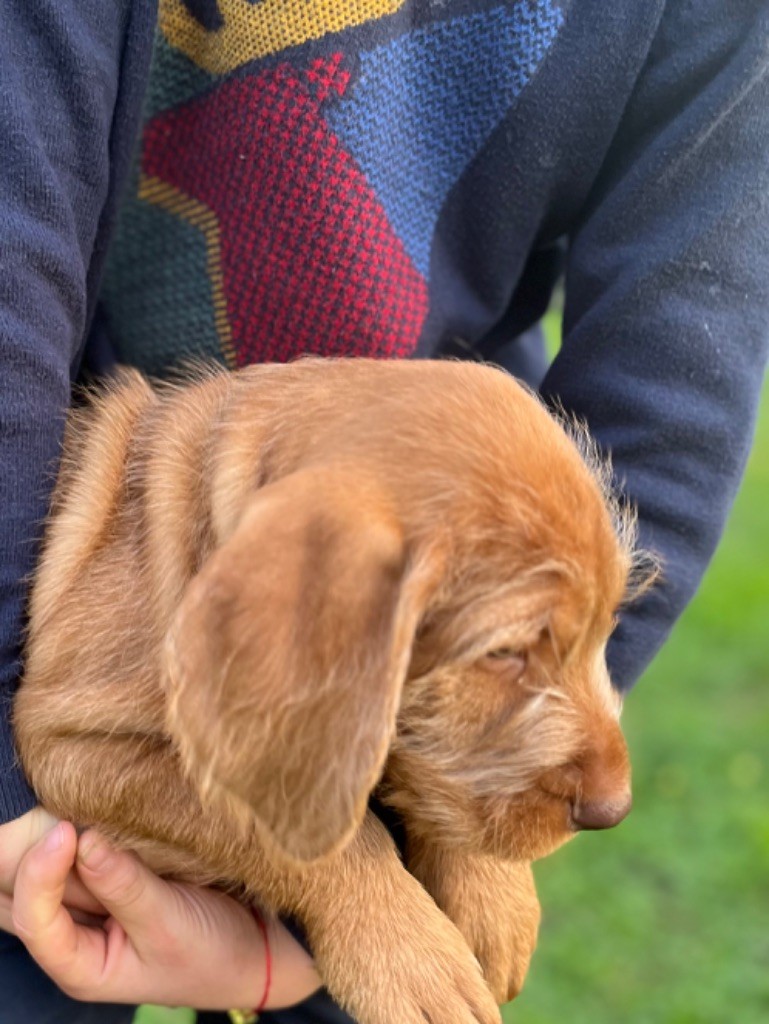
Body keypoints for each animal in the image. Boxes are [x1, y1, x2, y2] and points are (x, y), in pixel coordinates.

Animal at [16, 360, 643, 1024]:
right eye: (503, 653)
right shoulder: (70, 744)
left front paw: (494, 896)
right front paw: (410, 958)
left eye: (605, 626)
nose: (614, 809)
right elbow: (275, 819)